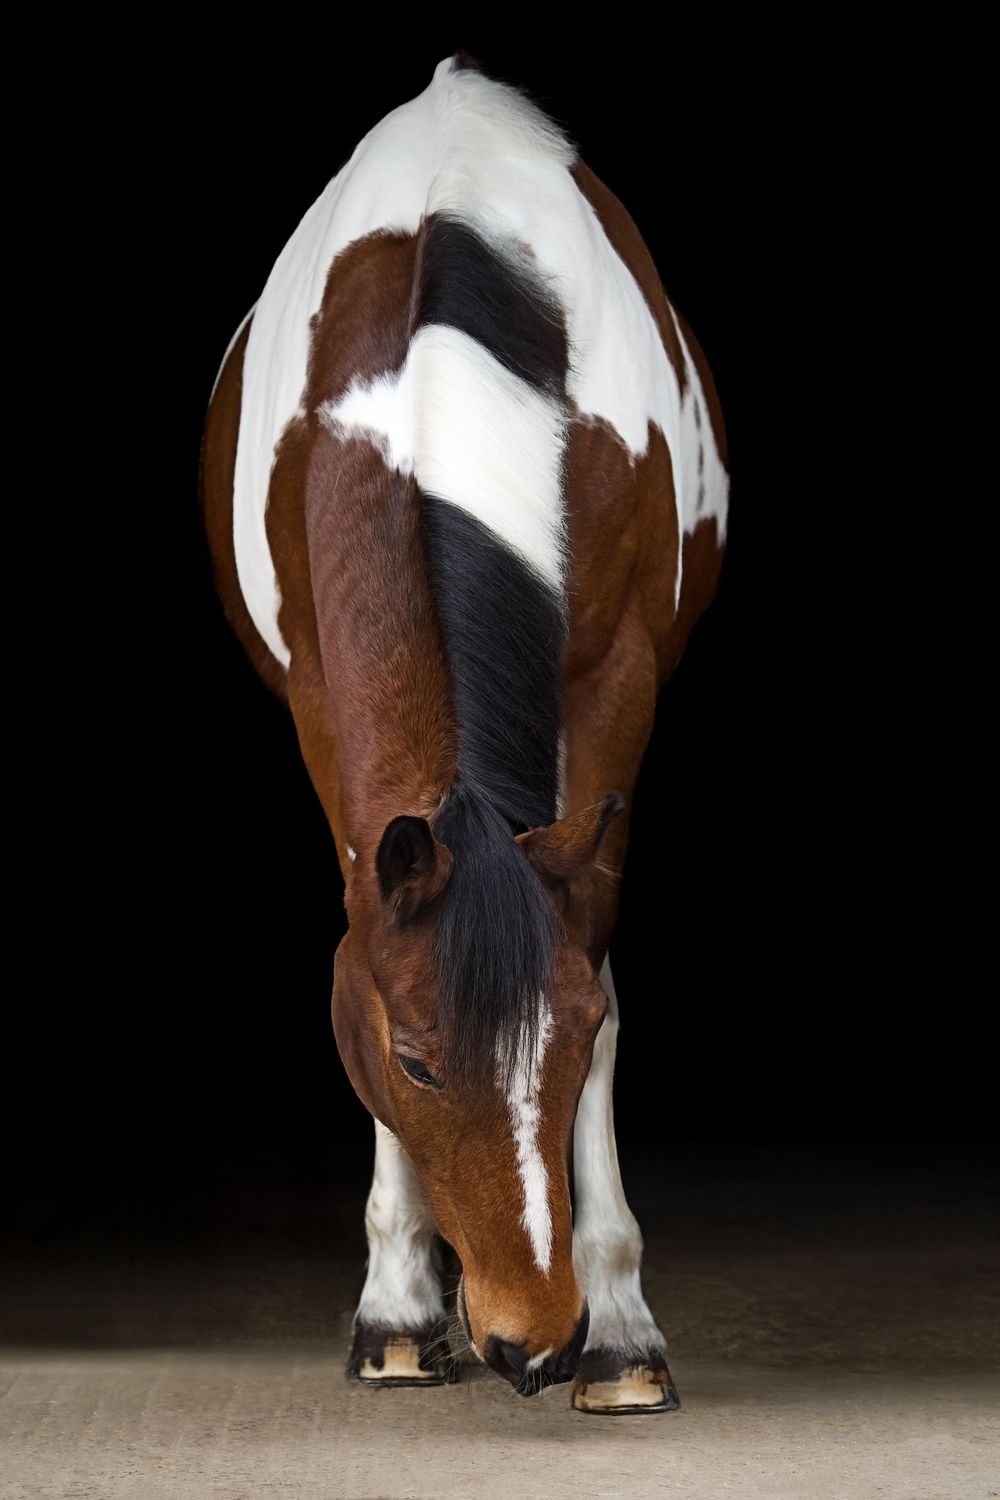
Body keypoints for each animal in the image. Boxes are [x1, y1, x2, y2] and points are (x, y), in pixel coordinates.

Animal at [200, 51, 728, 1415]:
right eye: (419, 1062)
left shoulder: (616, 681)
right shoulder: (324, 695)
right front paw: (395, 1306)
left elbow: (594, 949)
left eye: (576, 1040)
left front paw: (621, 1331)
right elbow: (361, 943)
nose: (531, 1341)